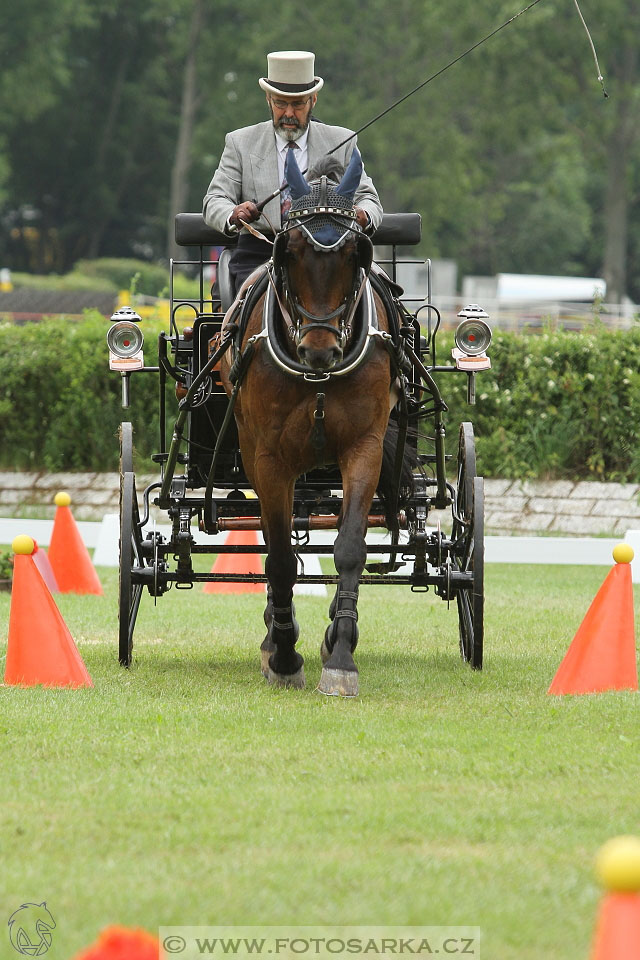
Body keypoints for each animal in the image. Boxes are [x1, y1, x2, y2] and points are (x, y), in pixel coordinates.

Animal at [218, 146, 412, 692]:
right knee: (272, 541)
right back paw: (273, 638)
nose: (318, 350)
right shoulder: (267, 457)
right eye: (290, 253)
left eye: (355, 256)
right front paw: (284, 655)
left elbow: (349, 548)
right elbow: (280, 558)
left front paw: (340, 653)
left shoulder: (364, 446)